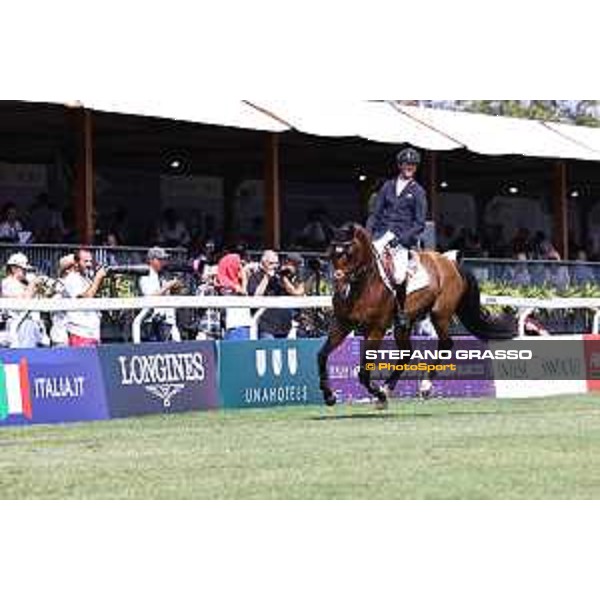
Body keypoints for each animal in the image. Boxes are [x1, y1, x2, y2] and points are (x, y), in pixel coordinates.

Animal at [318, 223, 516, 410]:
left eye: (349, 253)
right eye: (331, 253)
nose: (340, 288)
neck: (364, 285)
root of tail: (449, 262)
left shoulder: (376, 329)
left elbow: (364, 373)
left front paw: (379, 395)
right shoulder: (342, 325)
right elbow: (321, 355)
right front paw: (329, 396)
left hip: (440, 314)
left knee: (445, 344)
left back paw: (424, 387)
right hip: (404, 324)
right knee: (407, 352)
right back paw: (387, 388)